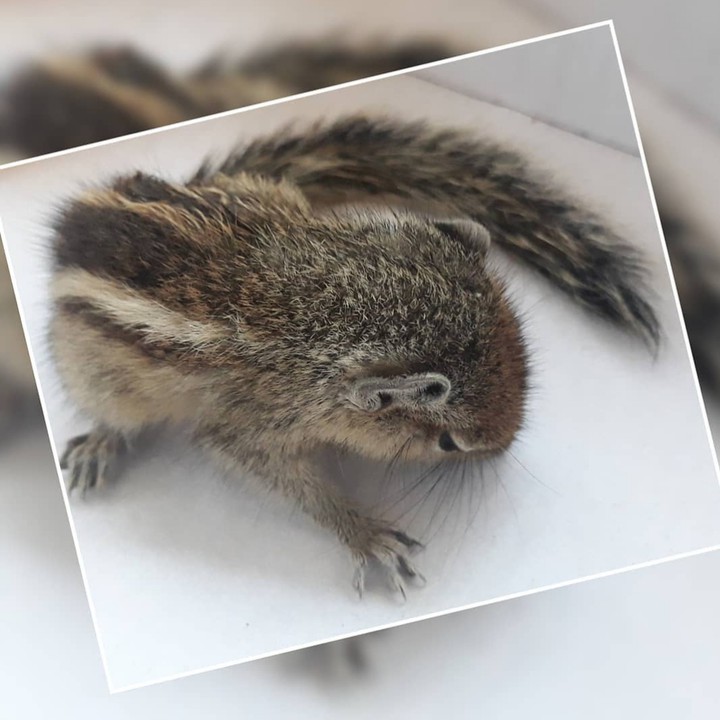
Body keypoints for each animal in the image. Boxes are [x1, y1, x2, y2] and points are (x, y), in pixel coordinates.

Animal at [51, 115, 658, 597]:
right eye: (448, 443)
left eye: (526, 366)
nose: (501, 451)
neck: (334, 301)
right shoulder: (255, 425)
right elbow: (283, 479)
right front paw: (367, 536)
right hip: (96, 372)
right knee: (113, 412)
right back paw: (100, 443)